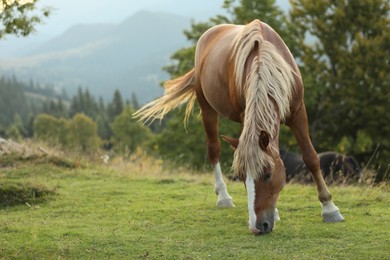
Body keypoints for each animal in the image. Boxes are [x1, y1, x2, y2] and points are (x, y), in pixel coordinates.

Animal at [135, 19, 344, 235]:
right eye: (242, 176)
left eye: (267, 174)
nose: (259, 226)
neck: (266, 63)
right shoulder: (247, 115)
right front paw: (277, 211)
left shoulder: (298, 112)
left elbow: (311, 157)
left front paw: (330, 209)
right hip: (207, 107)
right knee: (214, 149)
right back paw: (223, 197)